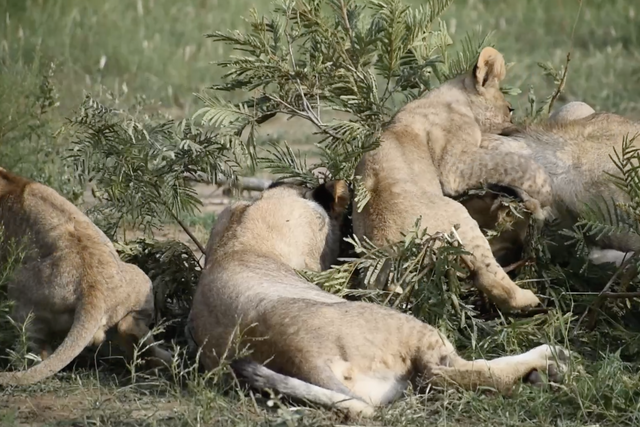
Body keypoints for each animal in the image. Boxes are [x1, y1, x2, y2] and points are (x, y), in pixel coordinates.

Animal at [352, 47, 553, 312]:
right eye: (510, 109)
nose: (518, 129)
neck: (453, 97)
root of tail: (390, 252)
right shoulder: (454, 165)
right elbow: (513, 162)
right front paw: (544, 192)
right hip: (458, 219)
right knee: (489, 278)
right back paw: (528, 299)